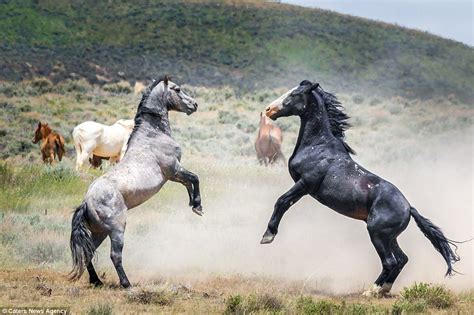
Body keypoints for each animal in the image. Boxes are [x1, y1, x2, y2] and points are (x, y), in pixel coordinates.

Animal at [70, 76, 202, 288]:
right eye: (177, 89)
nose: (194, 105)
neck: (153, 135)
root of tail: (86, 202)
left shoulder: (174, 174)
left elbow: (188, 183)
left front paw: (193, 204)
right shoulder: (173, 170)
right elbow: (194, 178)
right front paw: (197, 206)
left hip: (99, 232)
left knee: (89, 253)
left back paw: (96, 281)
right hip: (117, 230)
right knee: (115, 255)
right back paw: (126, 284)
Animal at [260, 80, 460, 298]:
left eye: (294, 94)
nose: (269, 110)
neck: (319, 146)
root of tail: (409, 208)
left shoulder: (305, 184)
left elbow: (282, 201)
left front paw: (268, 236)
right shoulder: (304, 186)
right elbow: (284, 201)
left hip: (377, 233)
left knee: (390, 262)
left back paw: (371, 291)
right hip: (390, 237)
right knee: (401, 260)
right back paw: (383, 289)